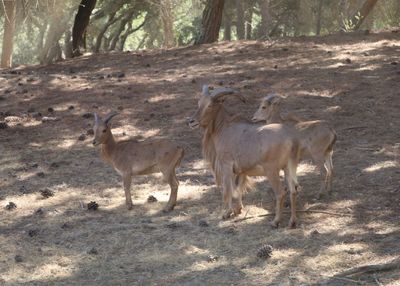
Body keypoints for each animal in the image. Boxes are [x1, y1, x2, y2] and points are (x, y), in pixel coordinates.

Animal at [188, 85, 300, 228]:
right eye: (199, 103)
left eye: (209, 105)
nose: (191, 121)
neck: (224, 129)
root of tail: (291, 139)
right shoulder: (241, 171)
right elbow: (238, 189)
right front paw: (238, 209)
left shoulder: (226, 165)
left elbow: (228, 190)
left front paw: (226, 213)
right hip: (289, 168)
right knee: (293, 191)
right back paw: (292, 221)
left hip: (272, 170)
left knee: (280, 193)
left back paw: (275, 221)